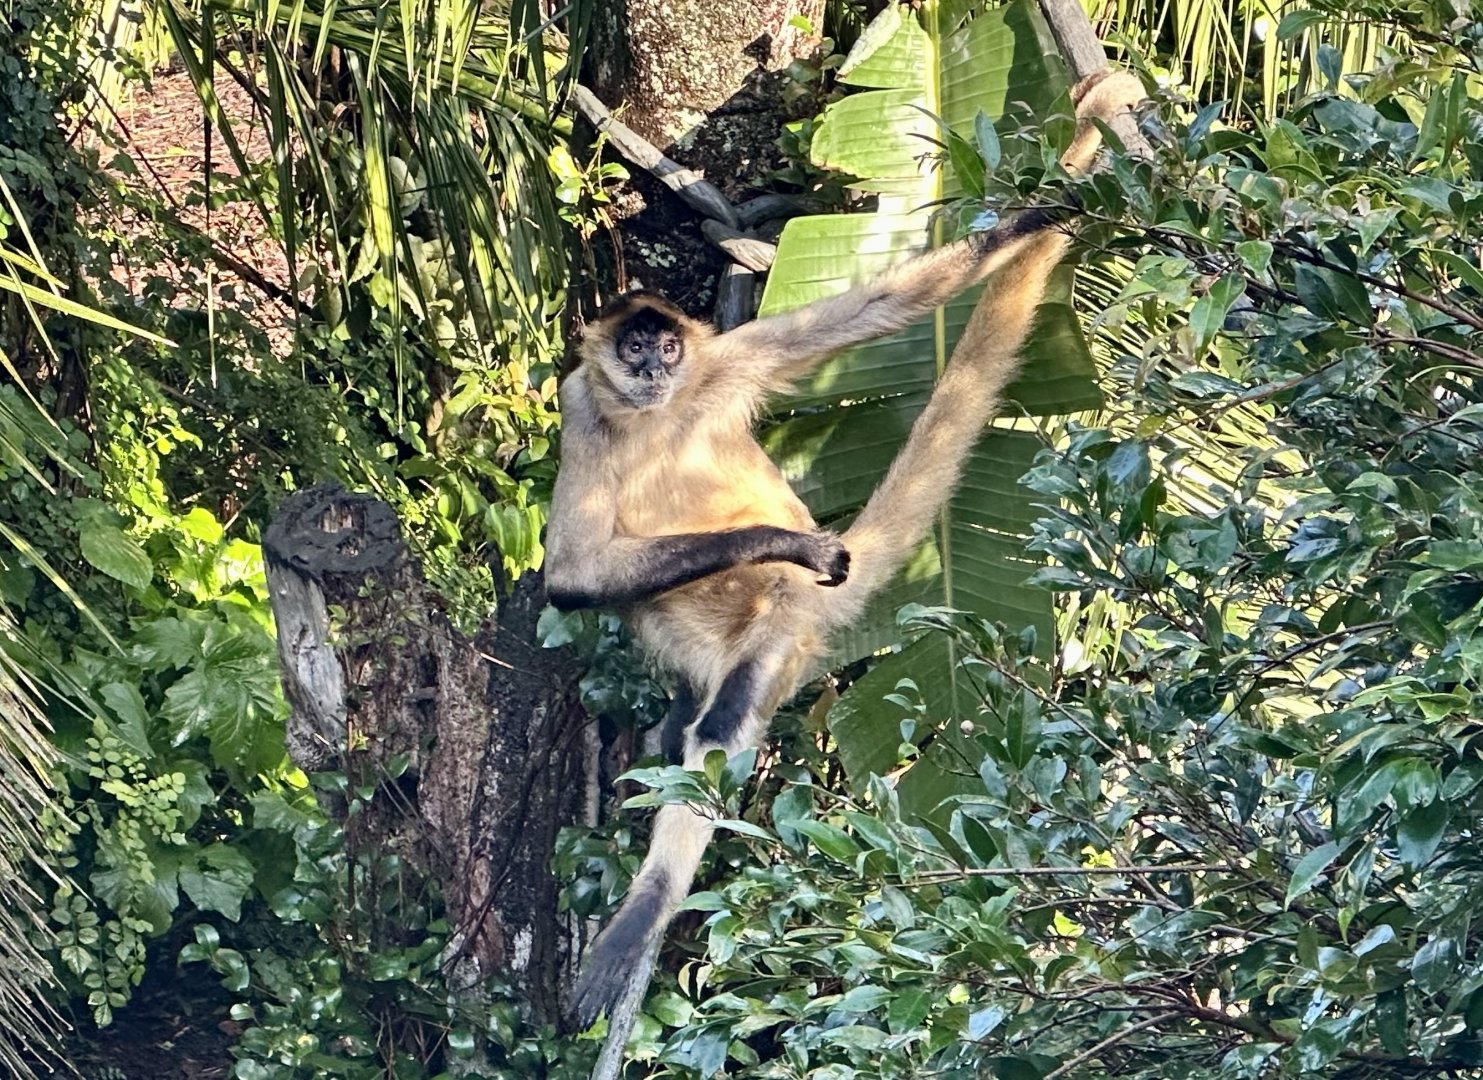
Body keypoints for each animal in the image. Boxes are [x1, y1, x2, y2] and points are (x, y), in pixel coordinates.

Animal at [544, 70, 1146, 1052]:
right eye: (634, 347)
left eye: (668, 344)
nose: (656, 363)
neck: (654, 415)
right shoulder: (581, 405)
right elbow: (570, 578)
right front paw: (792, 540)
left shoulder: (725, 363)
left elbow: (880, 311)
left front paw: (1038, 214)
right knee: (688, 723)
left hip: (780, 624)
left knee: (720, 728)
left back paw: (651, 900)